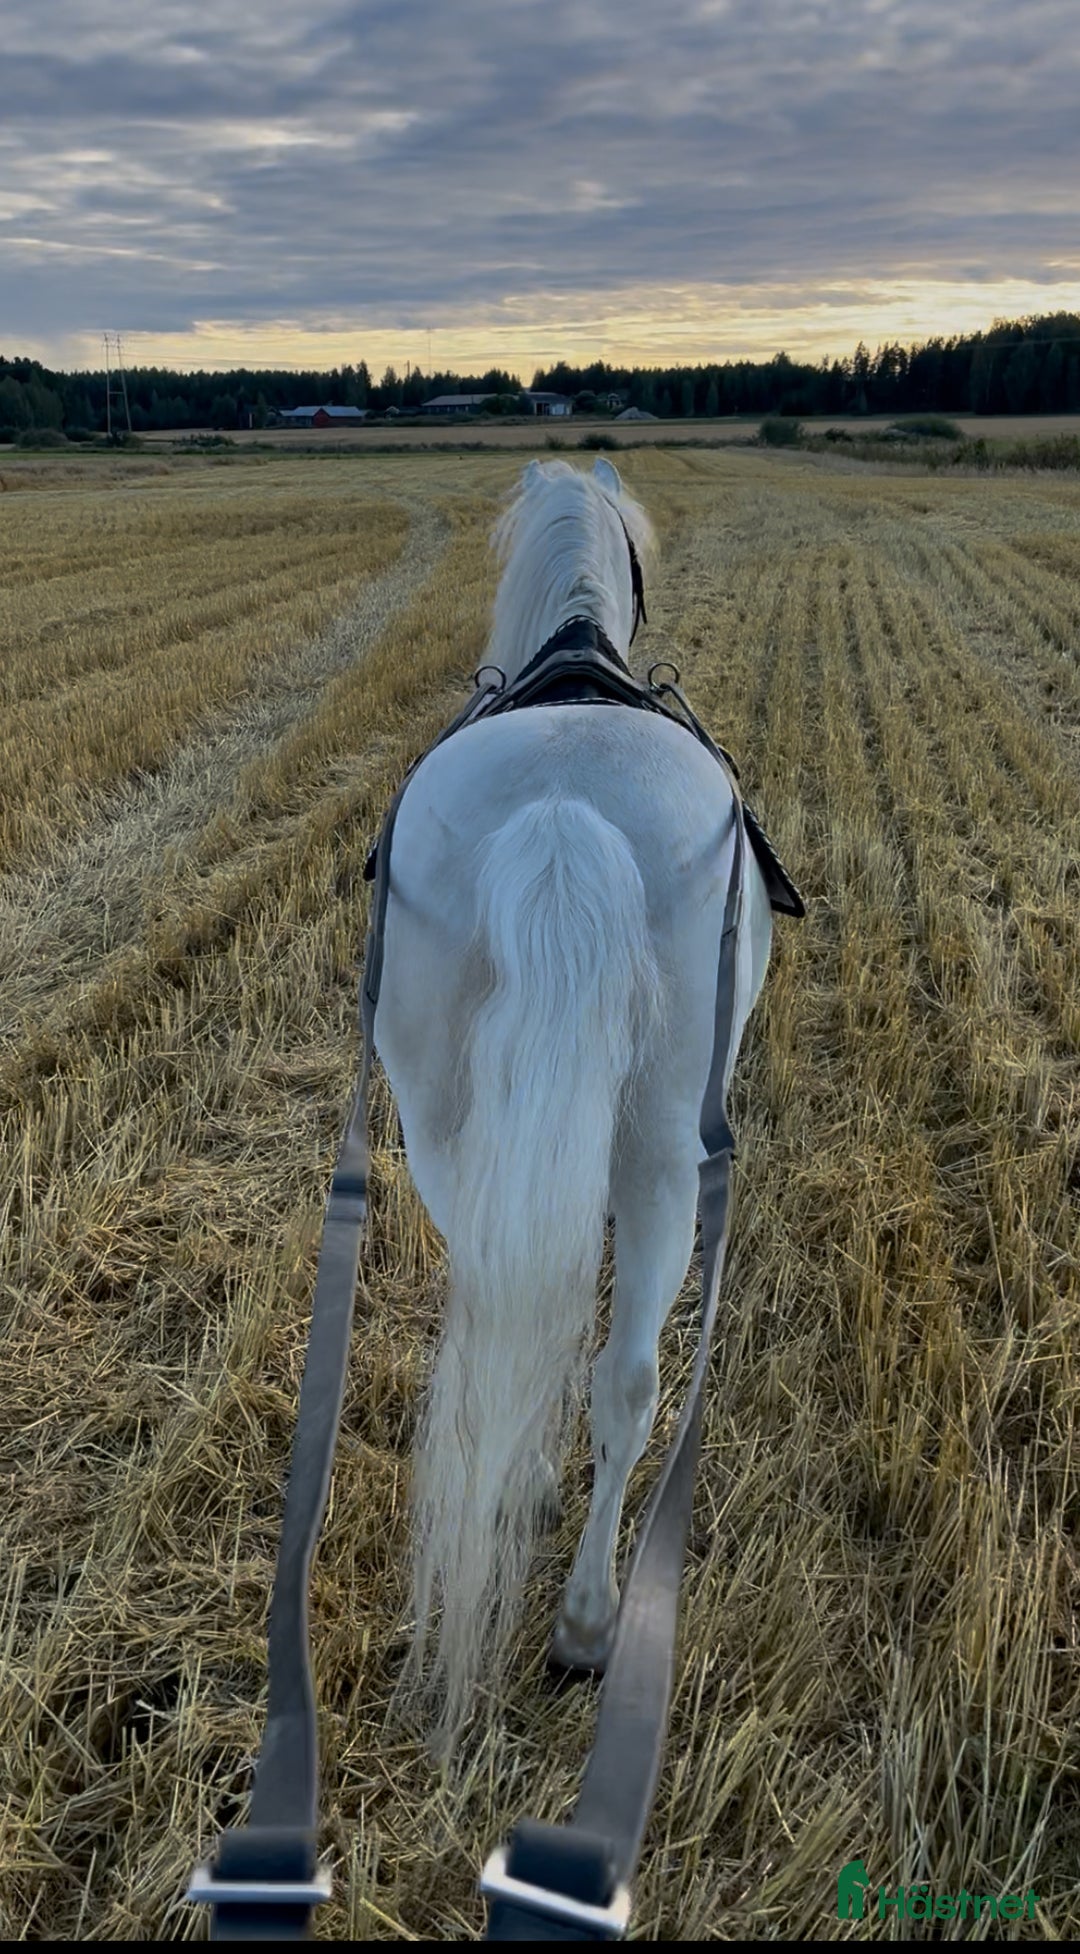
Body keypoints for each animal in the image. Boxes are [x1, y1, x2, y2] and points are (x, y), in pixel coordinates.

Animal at [374, 457, 774, 1746]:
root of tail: (561, 817)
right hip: (664, 1158)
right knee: (630, 1379)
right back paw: (593, 1623)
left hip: (445, 1132)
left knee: (521, 1308)